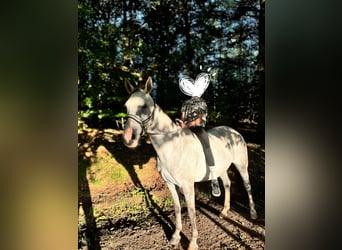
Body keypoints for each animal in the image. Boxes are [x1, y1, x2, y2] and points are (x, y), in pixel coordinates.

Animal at [123, 77, 256, 249]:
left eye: (144, 106)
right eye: (126, 106)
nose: (128, 139)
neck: (171, 146)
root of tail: (234, 131)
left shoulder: (187, 186)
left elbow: (192, 211)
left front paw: (192, 242)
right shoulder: (170, 184)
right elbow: (178, 208)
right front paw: (175, 237)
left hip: (241, 165)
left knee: (247, 185)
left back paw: (253, 213)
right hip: (221, 169)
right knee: (227, 184)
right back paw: (224, 211)